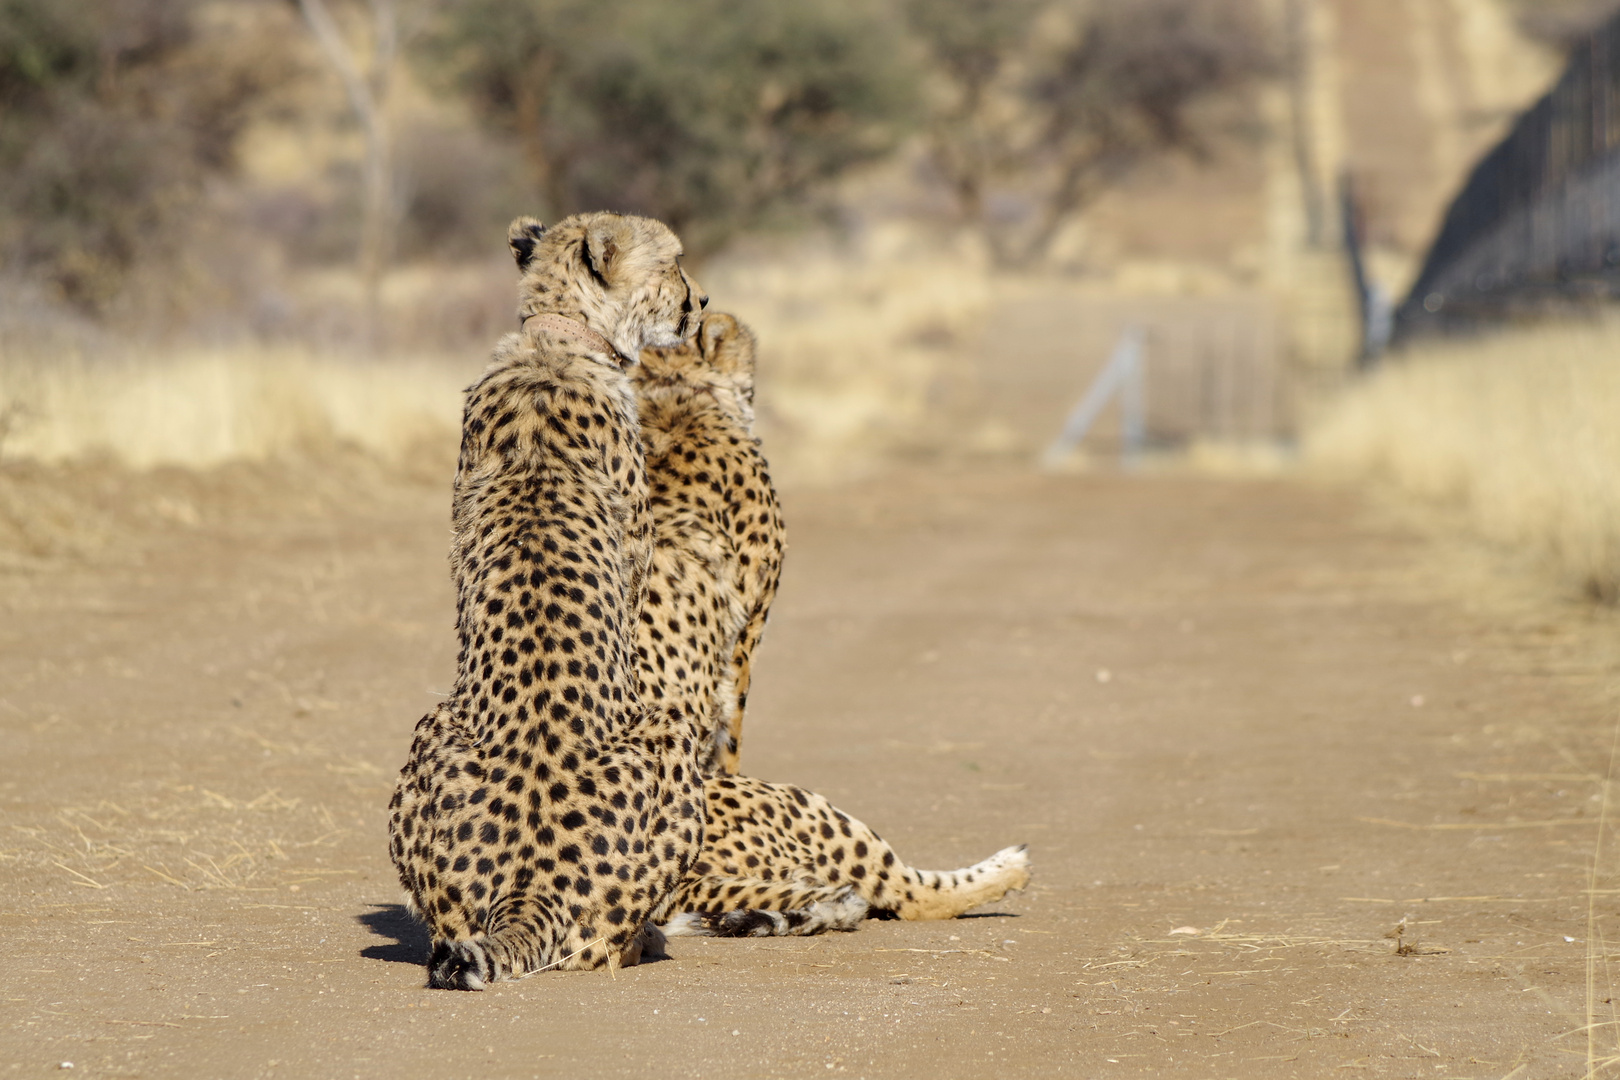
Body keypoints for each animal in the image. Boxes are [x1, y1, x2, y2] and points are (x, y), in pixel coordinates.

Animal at [388, 210, 712, 990]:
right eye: (674, 264)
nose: (702, 304)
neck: (558, 342)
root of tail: (528, 888)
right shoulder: (635, 558)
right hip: (668, 735)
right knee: (608, 945)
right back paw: (649, 939)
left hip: (431, 730)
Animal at [625, 310, 1030, 939]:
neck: (672, 395)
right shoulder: (745, 641)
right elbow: (732, 731)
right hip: (810, 809)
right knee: (909, 892)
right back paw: (1010, 866)